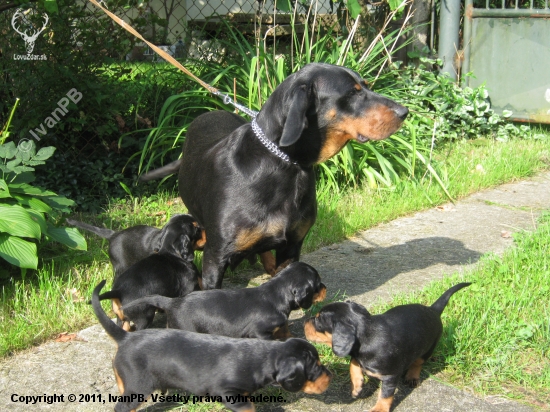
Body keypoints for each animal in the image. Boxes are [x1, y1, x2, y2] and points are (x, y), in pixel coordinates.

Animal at [92, 280, 332, 412]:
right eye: (315, 368)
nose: (330, 376)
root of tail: (126, 337)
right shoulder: (227, 393)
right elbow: (249, 407)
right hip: (139, 387)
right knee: (122, 406)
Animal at [141, 64, 410, 290]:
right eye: (353, 93)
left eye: (366, 85)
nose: (405, 111)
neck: (286, 165)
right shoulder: (215, 259)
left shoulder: (292, 247)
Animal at [304, 282, 472, 412]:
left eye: (318, 320)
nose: (305, 322)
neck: (368, 334)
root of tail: (433, 310)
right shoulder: (357, 355)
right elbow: (354, 363)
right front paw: (357, 385)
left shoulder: (390, 376)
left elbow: (385, 395)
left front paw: (379, 409)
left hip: (428, 348)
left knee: (418, 362)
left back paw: (412, 376)